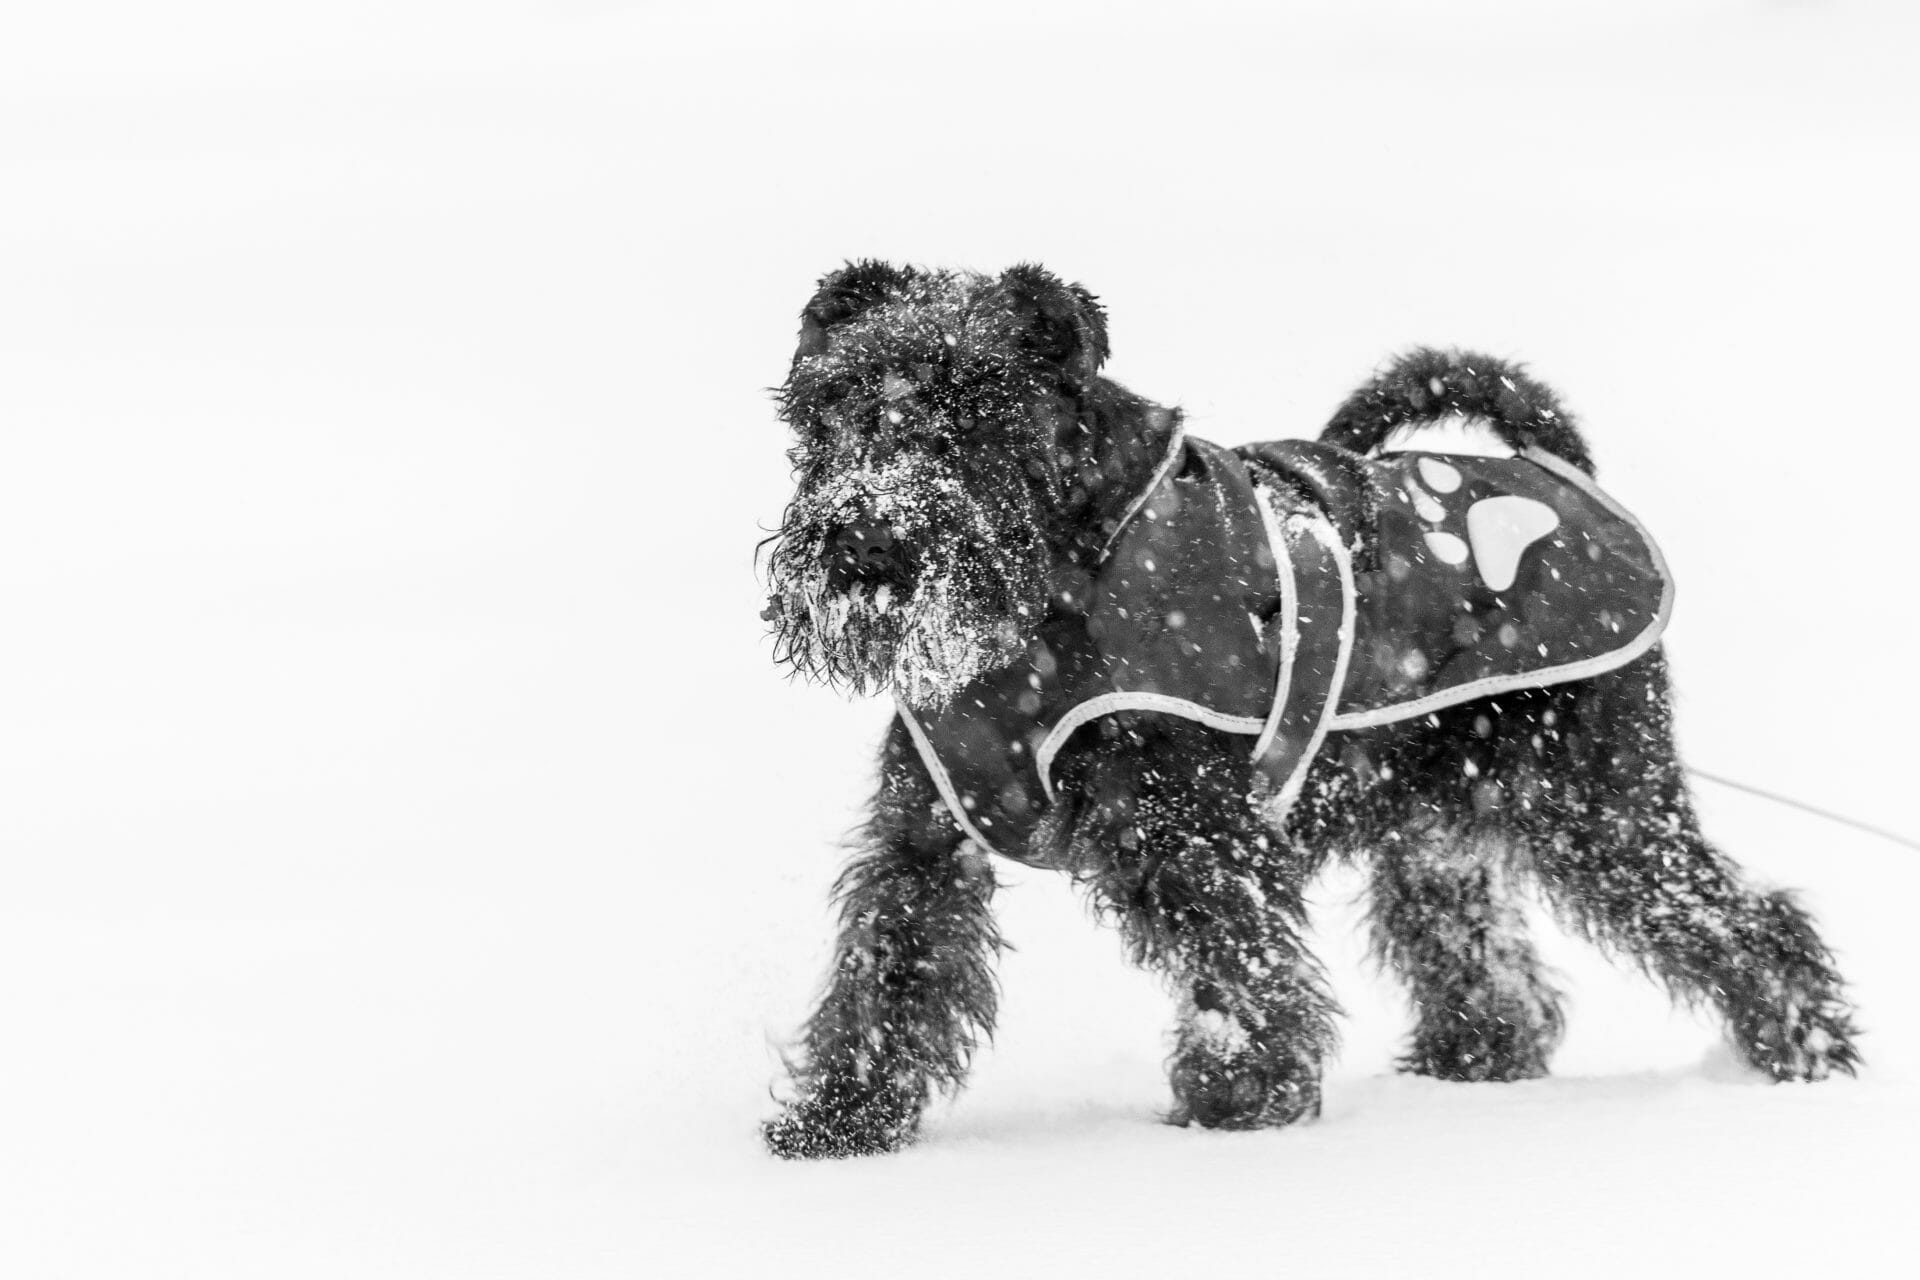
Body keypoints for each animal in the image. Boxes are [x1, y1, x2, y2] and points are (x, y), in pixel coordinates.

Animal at [756, 262, 1850, 1159]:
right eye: (836, 405)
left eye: (981, 406)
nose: (868, 542)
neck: (1060, 591)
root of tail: (1567, 477)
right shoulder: (925, 837)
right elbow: (888, 969)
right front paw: (843, 1118)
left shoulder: (1194, 835)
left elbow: (1241, 968)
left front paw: (1245, 1102)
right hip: (1440, 832)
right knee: (1483, 956)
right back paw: (1474, 1062)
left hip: (1599, 808)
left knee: (1748, 919)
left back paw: (1805, 1052)